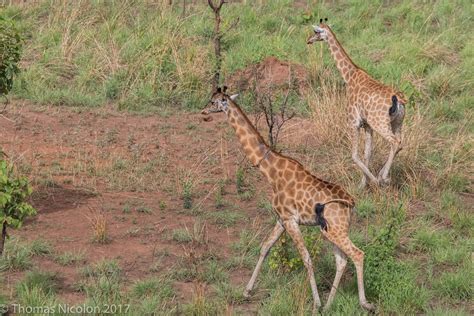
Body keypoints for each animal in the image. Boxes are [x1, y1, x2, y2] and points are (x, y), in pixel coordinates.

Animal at [200, 86, 374, 312]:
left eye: (213, 102)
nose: (203, 111)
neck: (270, 170)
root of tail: (351, 203)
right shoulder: (281, 219)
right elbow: (265, 247)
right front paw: (247, 291)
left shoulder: (290, 220)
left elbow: (306, 257)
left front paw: (315, 303)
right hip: (330, 230)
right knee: (342, 260)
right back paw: (329, 306)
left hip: (335, 229)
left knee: (357, 254)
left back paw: (364, 304)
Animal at [308, 18, 408, 189]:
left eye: (316, 31)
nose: (308, 40)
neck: (349, 76)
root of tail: (399, 100)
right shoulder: (367, 125)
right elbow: (367, 153)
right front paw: (363, 183)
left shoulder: (353, 121)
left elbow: (354, 155)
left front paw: (371, 182)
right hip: (397, 122)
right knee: (400, 143)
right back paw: (382, 175)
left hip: (380, 123)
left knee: (395, 142)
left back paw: (383, 178)